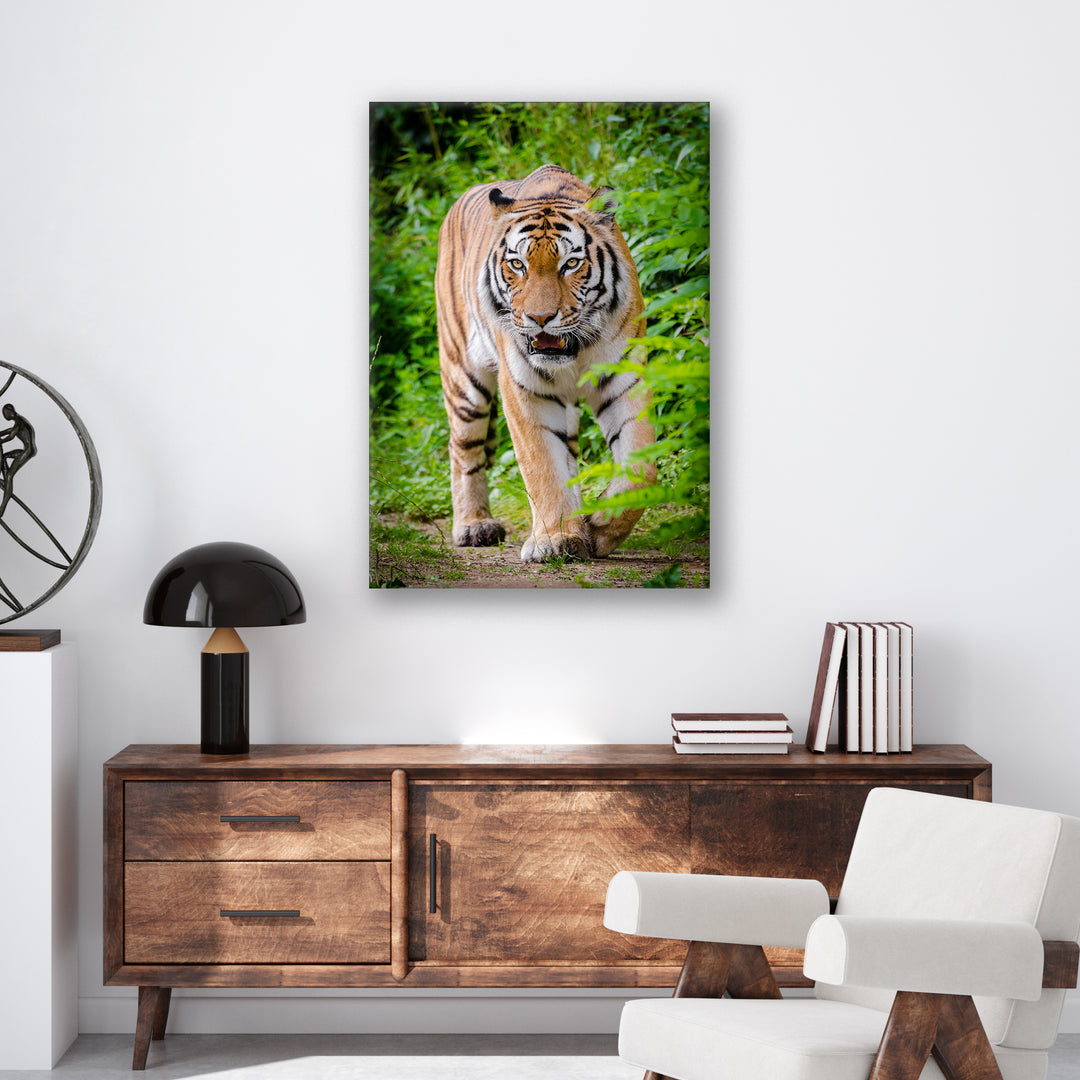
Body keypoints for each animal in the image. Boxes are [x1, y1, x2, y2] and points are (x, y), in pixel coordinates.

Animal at [435, 163, 656, 563]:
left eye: (571, 264)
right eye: (517, 264)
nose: (539, 318)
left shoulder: (624, 378)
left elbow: (641, 467)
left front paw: (598, 530)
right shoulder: (525, 388)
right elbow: (541, 466)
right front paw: (556, 539)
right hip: (463, 378)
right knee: (463, 449)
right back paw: (474, 526)